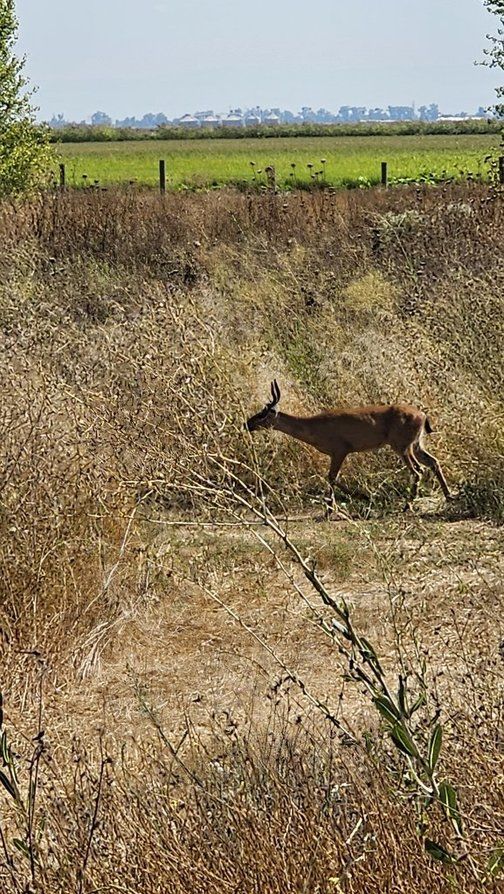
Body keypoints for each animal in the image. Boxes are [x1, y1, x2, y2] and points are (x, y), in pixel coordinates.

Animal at [245, 380, 453, 516]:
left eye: (263, 414)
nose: (247, 423)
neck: (315, 426)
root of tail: (422, 414)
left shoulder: (340, 452)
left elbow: (331, 477)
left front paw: (330, 510)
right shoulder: (336, 455)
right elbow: (332, 478)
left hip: (402, 448)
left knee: (418, 470)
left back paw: (407, 506)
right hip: (416, 445)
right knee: (433, 462)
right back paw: (448, 496)